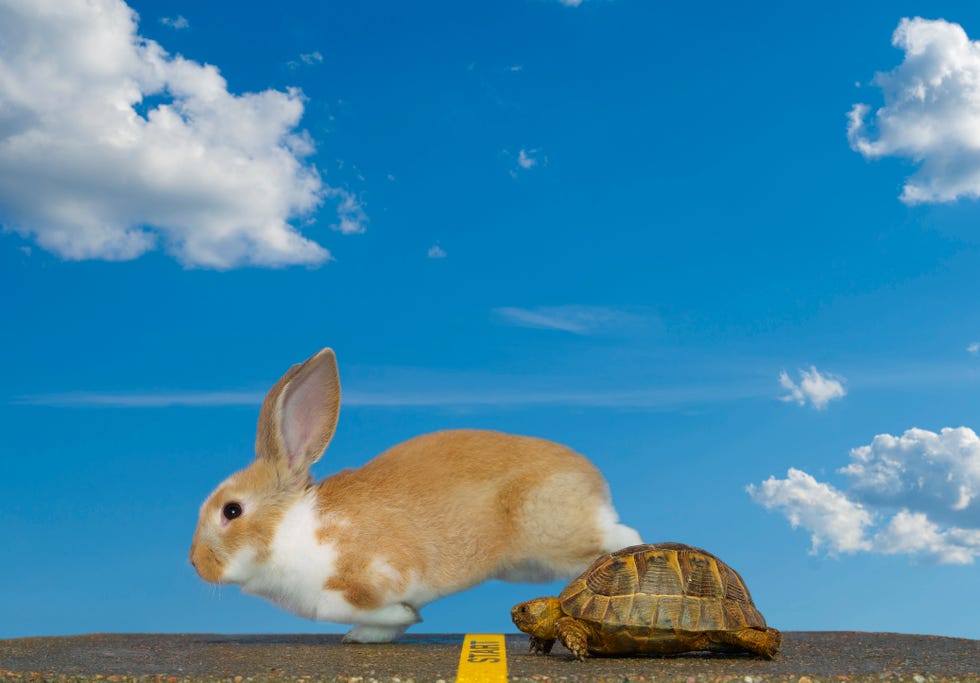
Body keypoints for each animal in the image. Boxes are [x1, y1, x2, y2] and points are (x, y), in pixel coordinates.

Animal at [189, 350, 644, 644]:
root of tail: (592, 480)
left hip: (557, 538)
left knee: (624, 536)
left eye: (232, 510)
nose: (196, 563)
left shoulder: (371, 574)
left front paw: (398, 617)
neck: (290, 528)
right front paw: (365, 637)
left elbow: (364, 605)